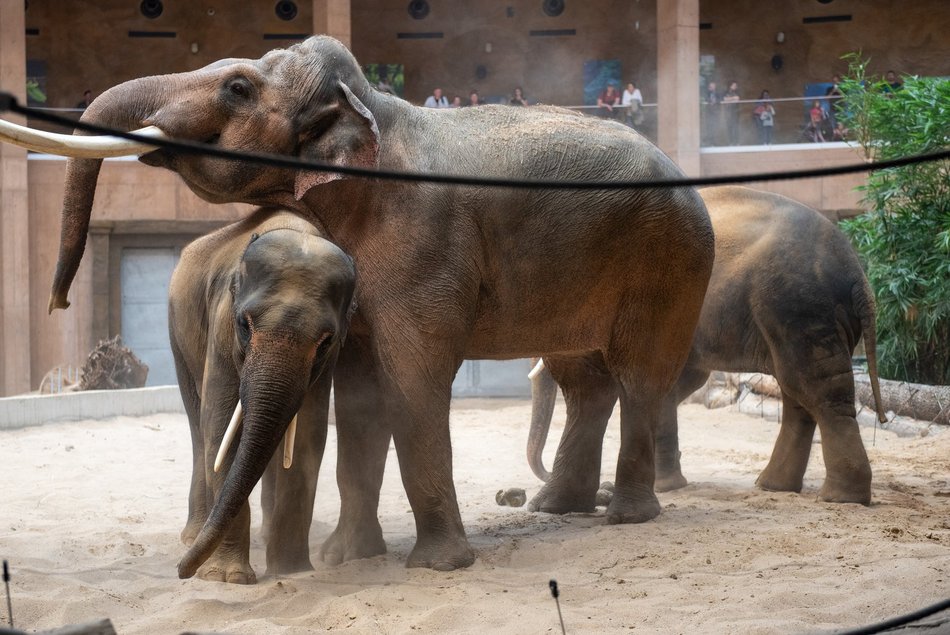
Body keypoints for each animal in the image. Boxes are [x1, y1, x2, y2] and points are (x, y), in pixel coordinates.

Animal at [167, 209, 356, 588]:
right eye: (244, 324)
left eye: (326, 341)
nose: (182, 571)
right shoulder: (221, 325)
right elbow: (220, 422)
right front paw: (227, 578)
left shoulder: (327, 363)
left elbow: (308, 436)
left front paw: (292, 570)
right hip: (177, 332)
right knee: (198, 428)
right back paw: (193, 537)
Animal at [532, 186, 888, 510]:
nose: (544, 471)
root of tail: (858, 275)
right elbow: (677, 382)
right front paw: (669, 485)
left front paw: (664, 487)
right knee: (797, 391)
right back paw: (774, 486)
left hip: (798, 306)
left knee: (817, 390)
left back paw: (840, 498)